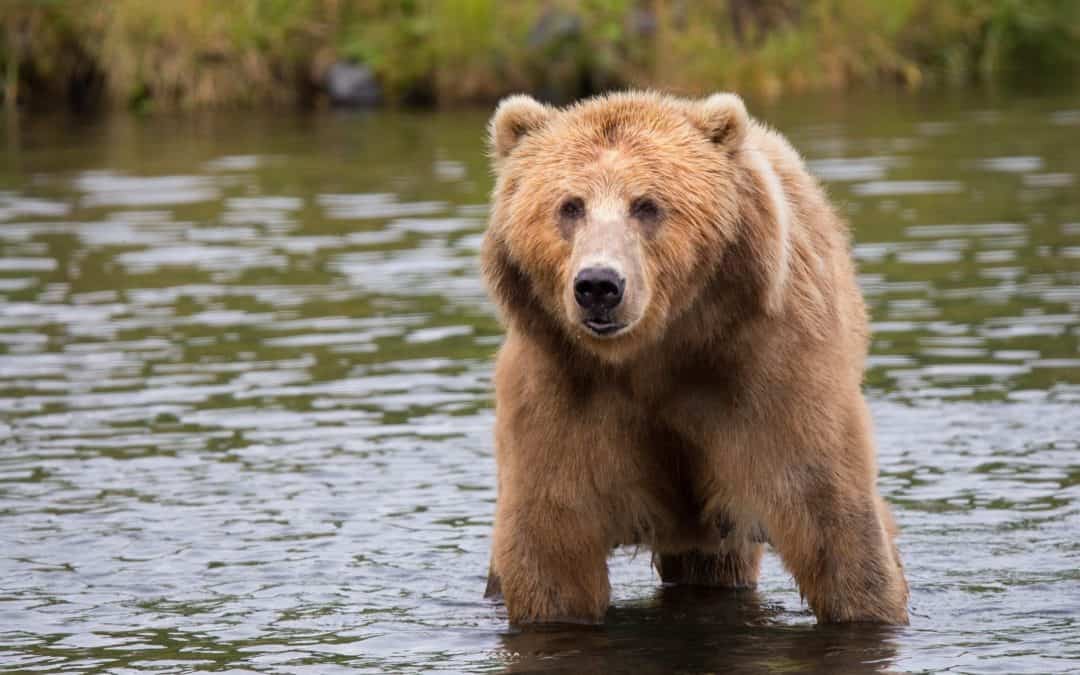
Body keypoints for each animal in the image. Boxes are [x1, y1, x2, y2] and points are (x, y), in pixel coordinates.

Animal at [481, 90, 911, 626]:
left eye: (646, 205)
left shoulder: (767, 374)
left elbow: (832, 520)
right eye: (570, 206)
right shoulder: (563, 390)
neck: (656, 352)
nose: (598, 285)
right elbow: (552, 544)